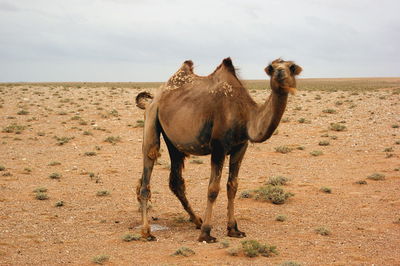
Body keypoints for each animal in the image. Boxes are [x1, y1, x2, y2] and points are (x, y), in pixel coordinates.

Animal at [136, 57, 302, 242]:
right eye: (271, 68)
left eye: (291, 67)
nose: (280, 72)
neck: (245, 115)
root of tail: (152, 99)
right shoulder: (218, 147)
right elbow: (213, 189)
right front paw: (206, 233)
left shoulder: (240, 147)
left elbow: (232, 186)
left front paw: (234, 229)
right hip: (152, 119)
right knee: (148, 168)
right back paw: (147, 231)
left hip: (174, 143)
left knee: (175, 181)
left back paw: (197, 220)